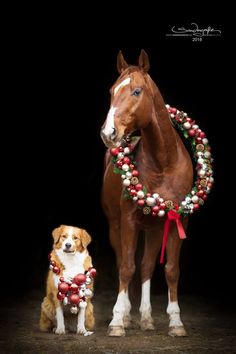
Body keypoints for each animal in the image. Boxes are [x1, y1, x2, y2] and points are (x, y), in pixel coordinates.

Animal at [100, 50, 193, 338]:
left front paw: (176, 322)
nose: (108, 133)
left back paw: (146, 318)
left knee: (146, 267)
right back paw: (127, 315)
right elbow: (126, 267)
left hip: (153, 229)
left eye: (137, 91)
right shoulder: (128, 220)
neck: (163, 162)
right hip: (116, 225)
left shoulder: (178, 219)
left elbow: (171, 270)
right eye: (111, 91)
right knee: (126, 262)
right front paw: (118, 321)